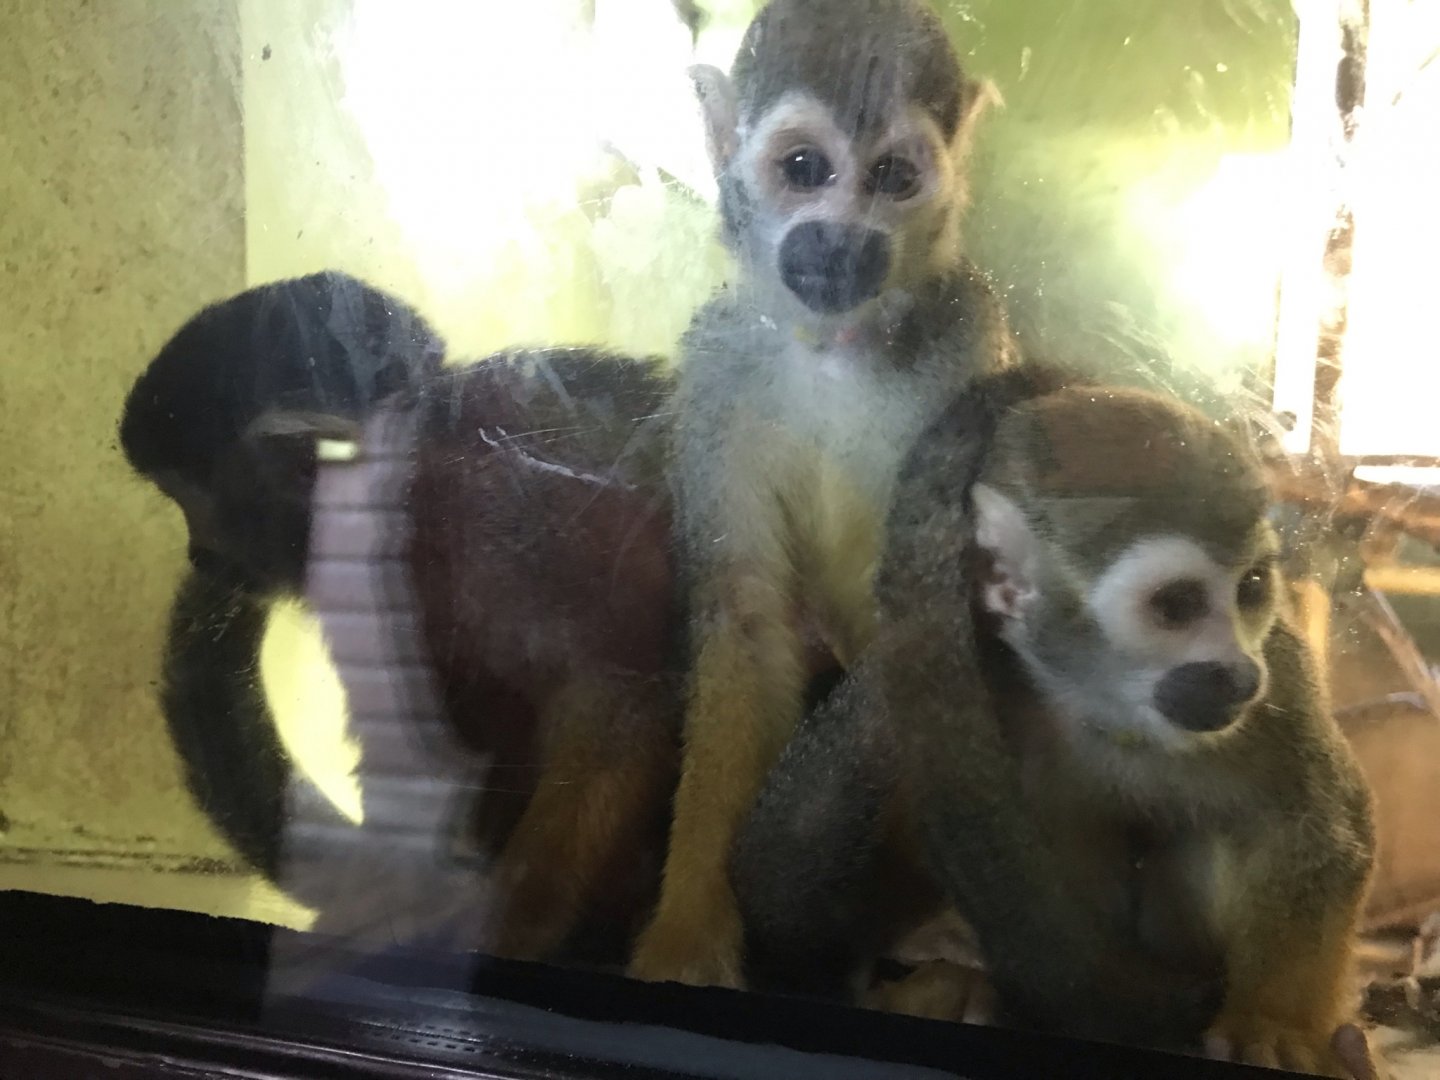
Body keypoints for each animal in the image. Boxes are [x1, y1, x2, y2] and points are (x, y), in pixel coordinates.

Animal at [628, 0, 1017, 989]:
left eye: (892, 177)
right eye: (805, 170)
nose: (842, 240)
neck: (838, 342)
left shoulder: (972, 338)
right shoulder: (717, 368)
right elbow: (747, 623)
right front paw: (688, 934)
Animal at [733, 376, 1377, 1073]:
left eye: (1253, 587)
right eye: (1177, 605)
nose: (1236, 675)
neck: (1103, 705)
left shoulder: (1285, 676)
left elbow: (1321, 828)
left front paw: (1273, 1021)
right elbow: (774, 870)